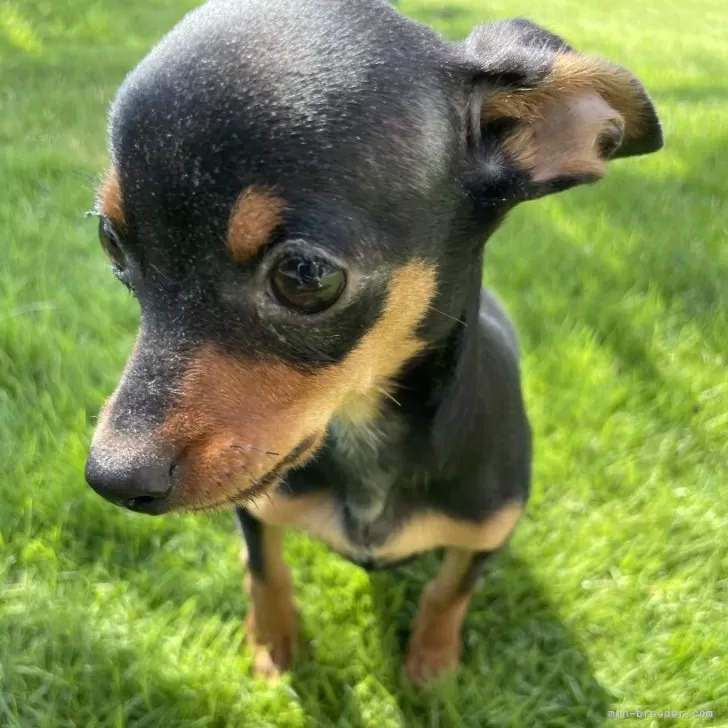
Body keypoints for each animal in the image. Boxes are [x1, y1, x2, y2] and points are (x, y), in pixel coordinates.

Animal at [85, 0, 662, 685]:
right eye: (110, 243)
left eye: (305, 275)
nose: (110, 477)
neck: (365, 437)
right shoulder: (257, 509)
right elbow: (266, 572)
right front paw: (274, 648)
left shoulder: (485, 536)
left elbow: (449, 592)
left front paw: (431, 666)